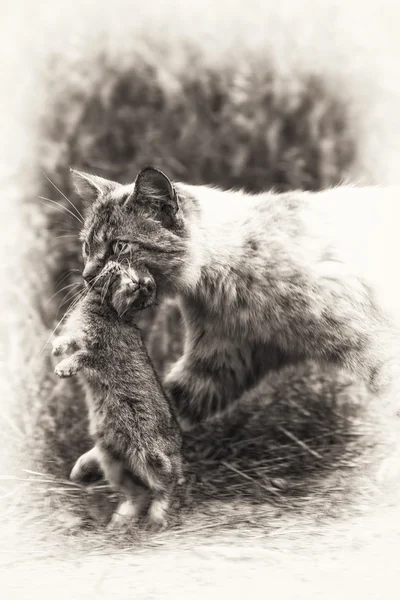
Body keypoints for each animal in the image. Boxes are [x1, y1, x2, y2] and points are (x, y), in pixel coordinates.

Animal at [52, 262, 184, 528]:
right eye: (127, 271)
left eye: (132, 277)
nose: (143, 285)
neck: (112, 309)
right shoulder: (80, 337)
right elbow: (71, 341)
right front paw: (56, 349)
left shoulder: (102, 354)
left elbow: (84, 356)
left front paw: (63, 369)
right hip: (114, 461)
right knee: (137, 493)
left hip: (150, 456)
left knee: (166, 484)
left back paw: (156, 518)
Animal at [70, 166, 398, 424]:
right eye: (86, 246)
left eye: (119, 246)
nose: (87, 276)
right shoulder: (221, 360)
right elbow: (168, 408)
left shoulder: (370, 342)